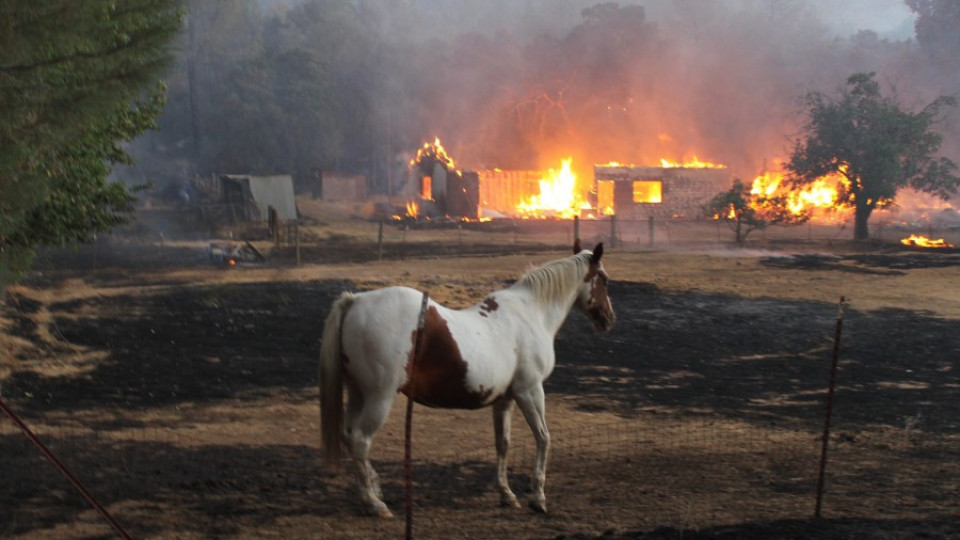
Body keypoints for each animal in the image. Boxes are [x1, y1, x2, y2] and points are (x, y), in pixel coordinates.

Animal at [316, 240, 616, 520]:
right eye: (604, 279)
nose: (608, 319)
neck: (531, 314)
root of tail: (355, 301)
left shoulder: (505, 399)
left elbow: (503, 443)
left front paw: (506, 494)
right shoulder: (530, 391)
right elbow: (543, 438)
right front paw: (538, 498)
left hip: (358, 393)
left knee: (349, 436)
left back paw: (371, 493)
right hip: (380, 397)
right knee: (360, 440)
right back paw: (374, 503)